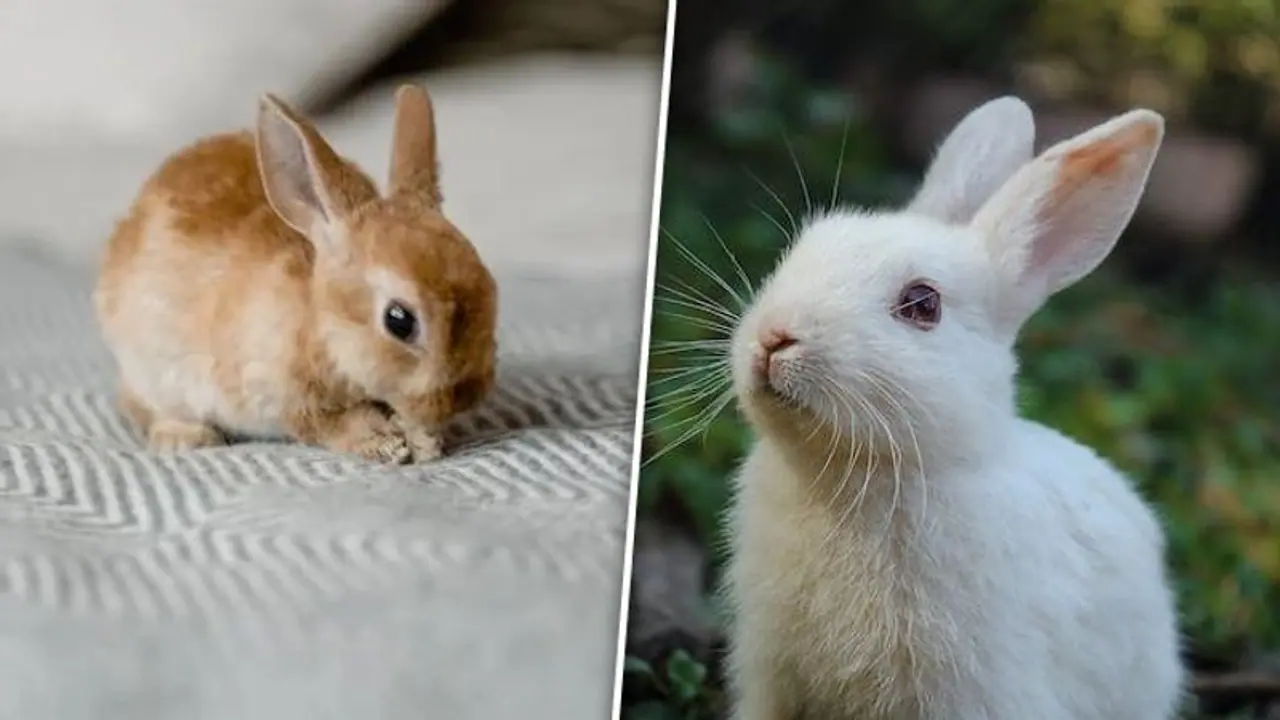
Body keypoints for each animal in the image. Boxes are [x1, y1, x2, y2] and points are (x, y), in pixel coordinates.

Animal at [93, 84, 498, 464]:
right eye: (399, 320)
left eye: (490, 288)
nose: (461, 399)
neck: (317, 322)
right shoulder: (289, 399)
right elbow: (337, 424)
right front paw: (387, 445)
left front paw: (423, 441)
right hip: (151, 372)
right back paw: (187, 439)